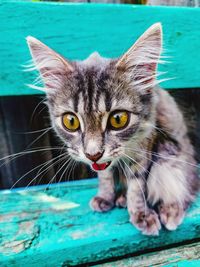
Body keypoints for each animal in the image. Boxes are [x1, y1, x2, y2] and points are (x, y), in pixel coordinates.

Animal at [26, 23, 198, 237]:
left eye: (118, 119)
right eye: (71, 121)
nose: (93, 154)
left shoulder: (144, 146)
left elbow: (136, 185)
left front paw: (141, 213)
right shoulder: (104, 165)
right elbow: (106, 176)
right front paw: (106, 197)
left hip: (170, 155)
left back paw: (170, 210)